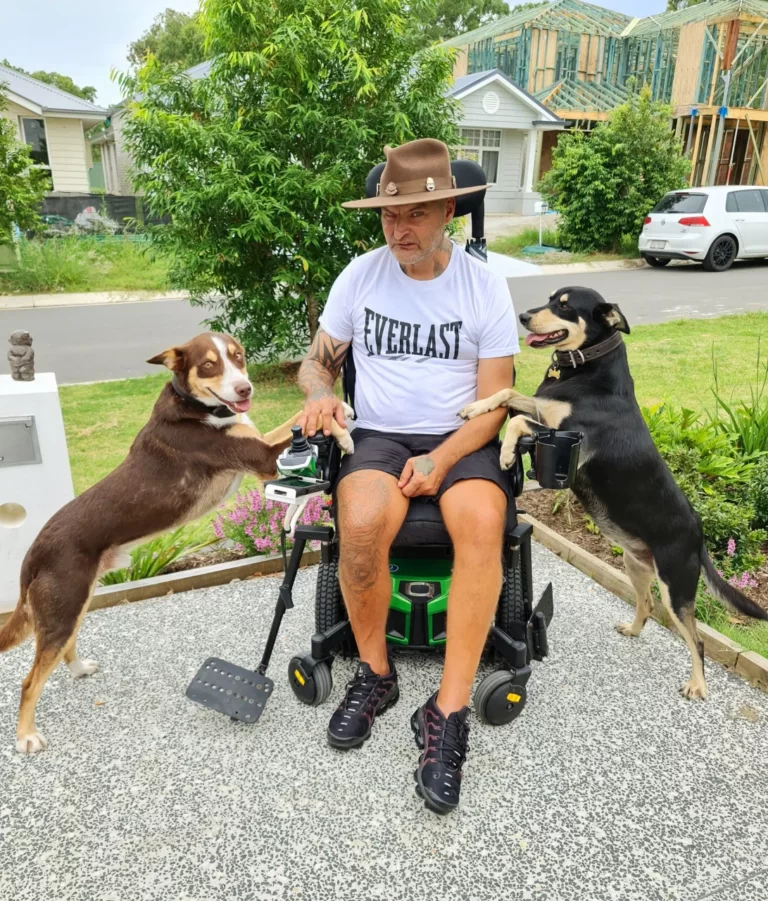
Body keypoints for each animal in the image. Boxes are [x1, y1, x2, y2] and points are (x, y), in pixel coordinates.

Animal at [0, 330, 354, 752]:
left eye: (238, 356)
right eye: (208, 365)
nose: (244, 388)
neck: (197, 408)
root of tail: (32, 552)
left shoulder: (260, 444)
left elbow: (294, 419)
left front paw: (339, 412)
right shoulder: (265, 459)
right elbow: (298, 420)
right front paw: (340, 424)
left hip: (74, 605)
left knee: (63, 648)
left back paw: (79, 669)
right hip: (63, 609)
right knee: (29, 681)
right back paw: (26, 736)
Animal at [462, 286, 768, 696]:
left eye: (564, 305)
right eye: (549, 298)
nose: (523, 317)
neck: (584, 368)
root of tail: (699, 531)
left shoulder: (565, 439)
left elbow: (518, 422)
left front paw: (508, 453)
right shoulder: (543, 412)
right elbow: (509, 392)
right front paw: (475, 407)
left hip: (677, 586)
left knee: (696, 638)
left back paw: (697, 685)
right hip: (635, 565)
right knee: (648, 605)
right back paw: (633, 629)